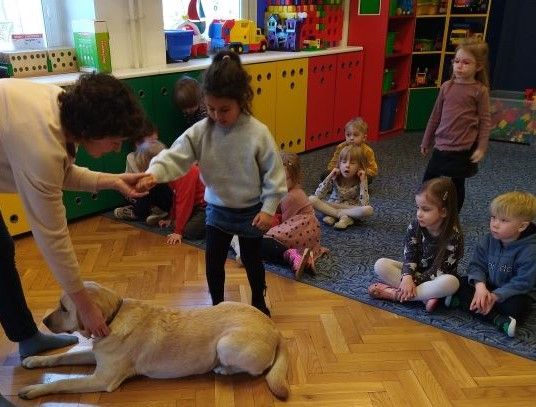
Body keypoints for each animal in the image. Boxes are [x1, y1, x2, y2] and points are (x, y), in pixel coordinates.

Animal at [18, 281, 289, 400]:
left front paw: (35, 389)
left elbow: (65, 382)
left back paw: (223, 369)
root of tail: (276, 330)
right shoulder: (94, 355)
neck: (113, 317)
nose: (43, 321)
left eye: (64, 308)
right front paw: (35, 360)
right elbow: (63, 356)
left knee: (256, 370)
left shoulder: (102, 379)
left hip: (225, 345)